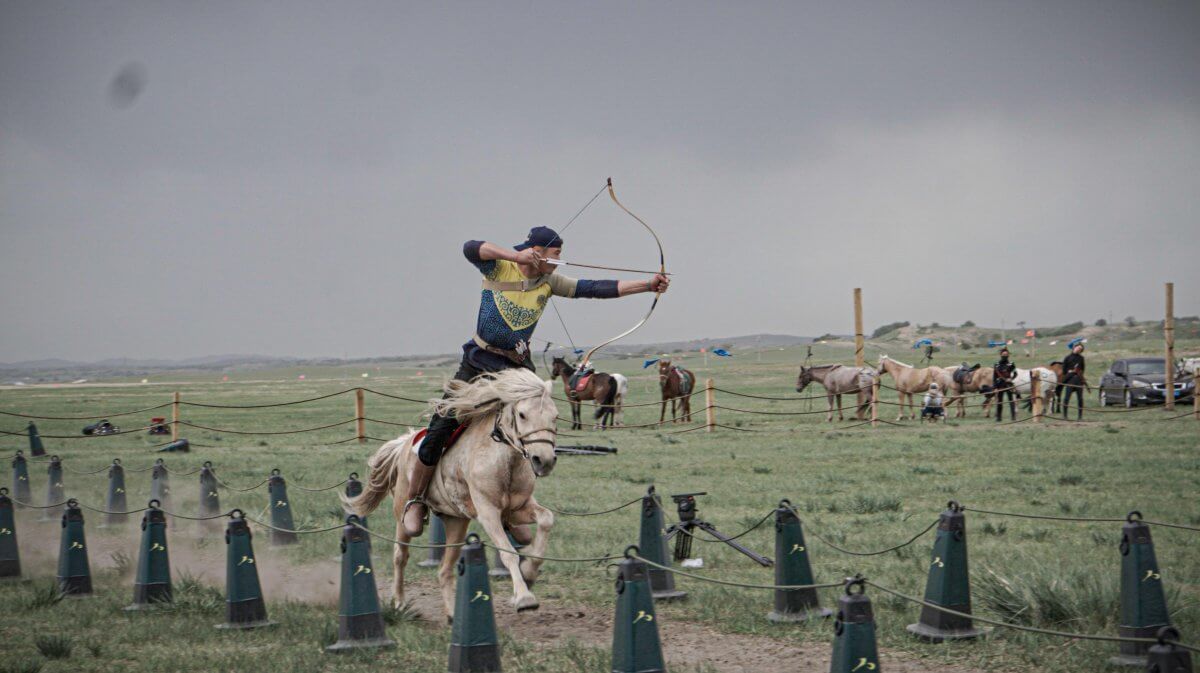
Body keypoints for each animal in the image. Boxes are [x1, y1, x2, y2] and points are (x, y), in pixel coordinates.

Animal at [343, 367, 556, 619]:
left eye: (555, 416)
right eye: (522, 415)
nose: (544, 460)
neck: (503, 459)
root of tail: (404, 444)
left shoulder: (517, 509)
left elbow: (546, 520)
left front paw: (529, 572)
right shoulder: (488, 513)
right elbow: (508, 552)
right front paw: (524, 598)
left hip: (456, 522)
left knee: (444, 569)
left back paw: (453, 614)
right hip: (404, 516)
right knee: (400, 556)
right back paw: (400, 602)